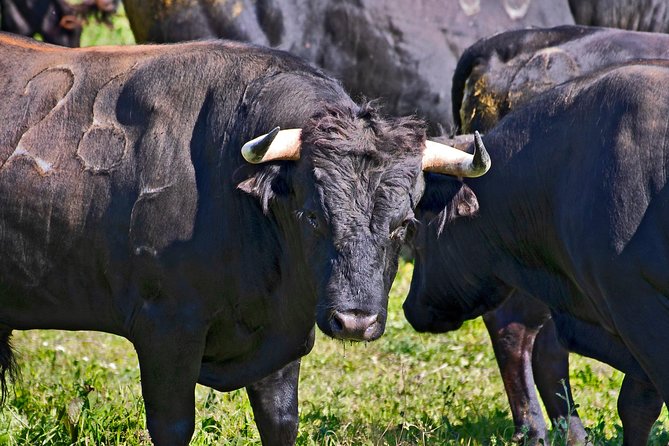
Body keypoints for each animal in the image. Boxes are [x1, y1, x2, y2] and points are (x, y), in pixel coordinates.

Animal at [0, 32, 490, 445]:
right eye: (312, 216)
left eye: (403, 224)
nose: (354, 322)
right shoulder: (164, 330)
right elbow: (173, 425)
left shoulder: (282, 343)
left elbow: (280, 421)